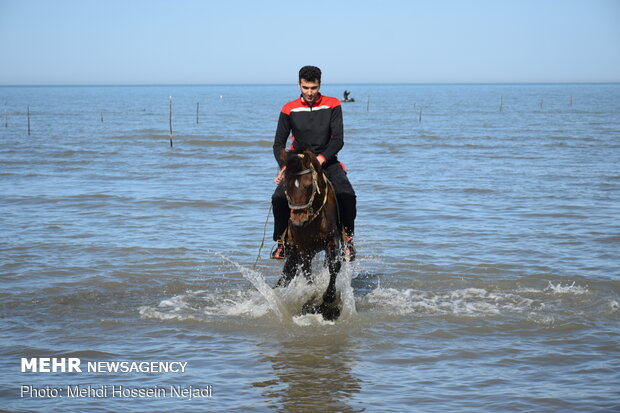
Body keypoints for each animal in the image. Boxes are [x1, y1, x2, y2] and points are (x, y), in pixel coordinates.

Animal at [278, 150, 344, 320]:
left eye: (308, 186)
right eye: (285, 185)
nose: (298, 221)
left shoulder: (332, 240)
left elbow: (334, 265)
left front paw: (328, 298)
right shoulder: (303, 248)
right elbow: (307, 272)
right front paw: (311, 300)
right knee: (287, 274)